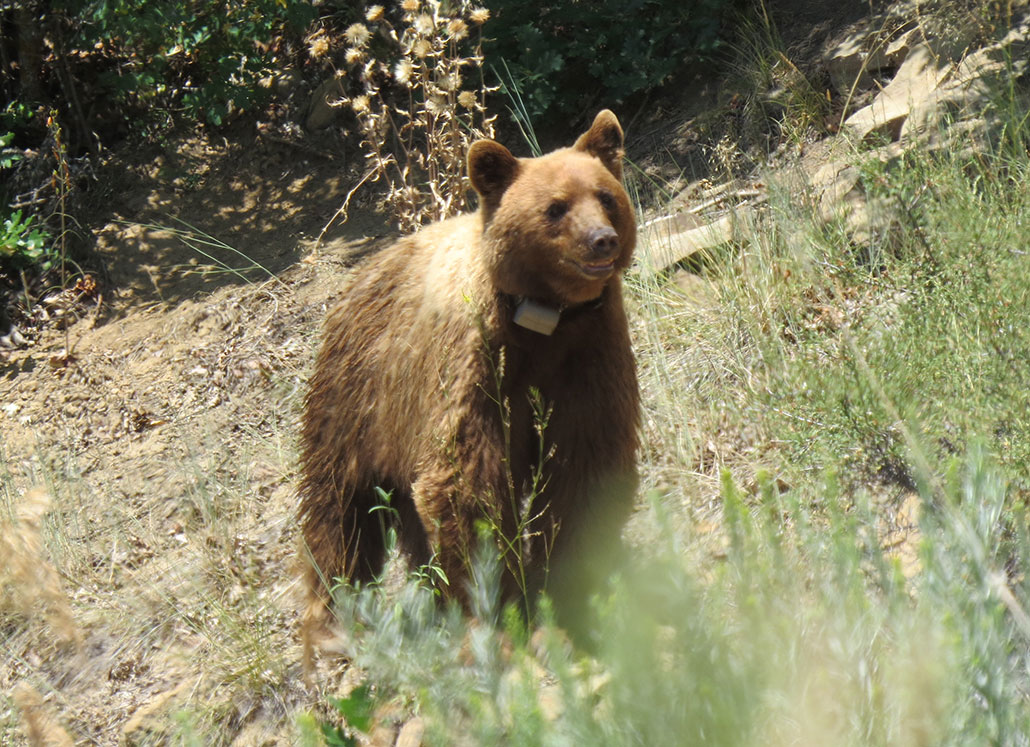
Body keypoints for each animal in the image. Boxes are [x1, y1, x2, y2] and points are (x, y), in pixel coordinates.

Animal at [298, 109, 634, 647]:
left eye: (605, 195)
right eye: (555, 208)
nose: (601, 239)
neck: (544, 317)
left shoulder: (589, 351)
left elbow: (585, 461)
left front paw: (566, 581)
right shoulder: (472, 360)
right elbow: (464, 479)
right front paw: (502, 601)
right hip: (354, 402)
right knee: (338, 514)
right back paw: (335, 624)